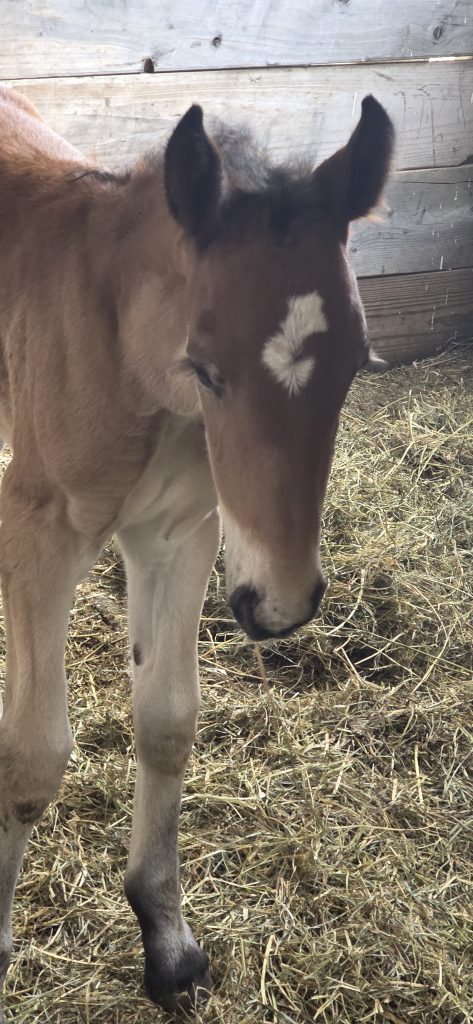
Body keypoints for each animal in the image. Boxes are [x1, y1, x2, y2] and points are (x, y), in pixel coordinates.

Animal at [0, 84, 393, 1013]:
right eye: (208, 369)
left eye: (355, 365)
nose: (279, 605)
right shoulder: (38, 535)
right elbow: (33, 755)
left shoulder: (181, 537)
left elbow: (168, 722)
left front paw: (167, 943)